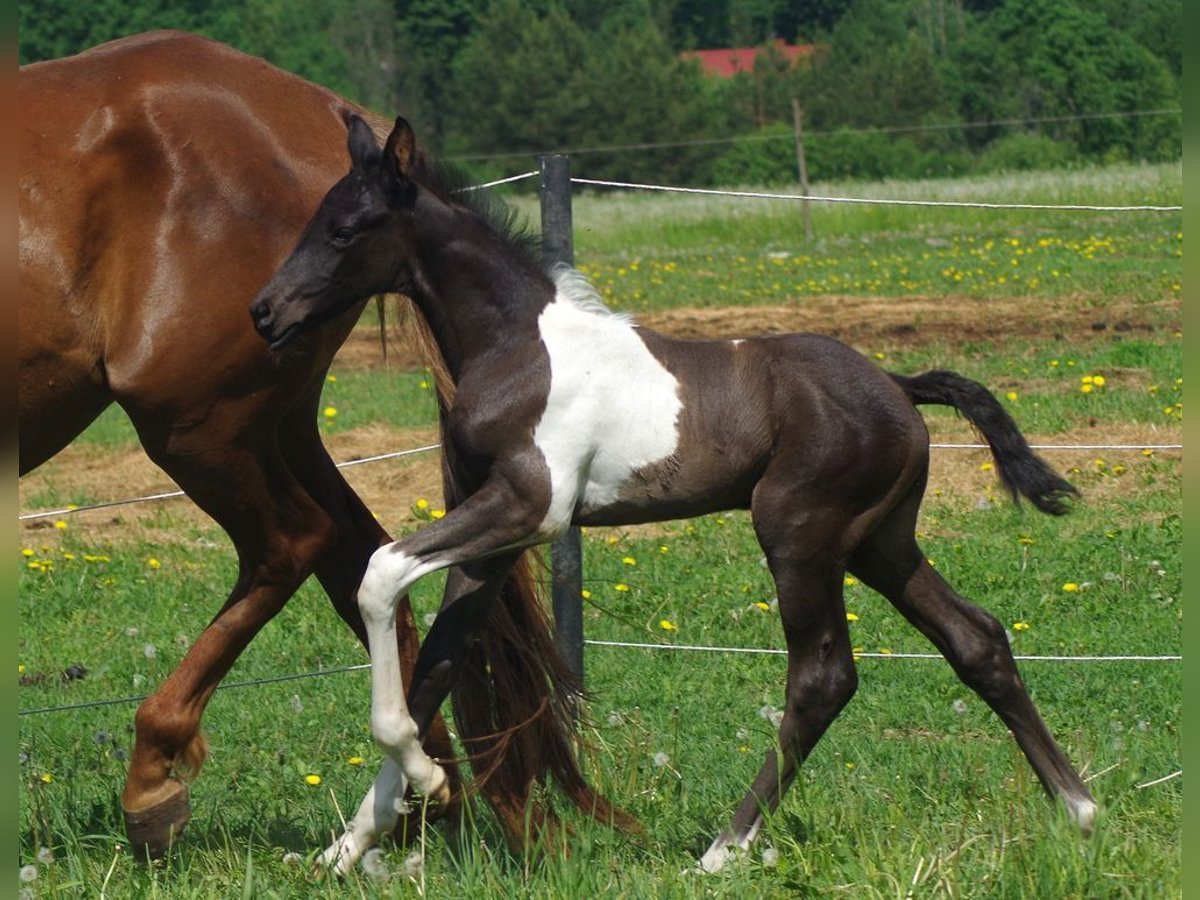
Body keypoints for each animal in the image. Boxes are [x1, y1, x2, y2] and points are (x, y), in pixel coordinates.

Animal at [18, 31, 619, 864]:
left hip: (196, 423)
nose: (268, 307)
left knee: (292, 543)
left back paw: (156, 781)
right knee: (362, 561)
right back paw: (421, 794)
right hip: (277, 426)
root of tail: (326, 104)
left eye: (340, 230)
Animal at [250, 116, 1099, 878]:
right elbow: (436, 667)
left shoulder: (531, 508)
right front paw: (348, 845)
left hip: (800, 532)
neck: (521, 347)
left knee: (823, 678)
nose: (264, 312)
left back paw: (724, 848)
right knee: (976, 638)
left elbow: (381, 575)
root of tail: (897, 385)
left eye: (345, 230)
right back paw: (1080, 807)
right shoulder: (496, 542)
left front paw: (420, 784)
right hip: (879, 540)